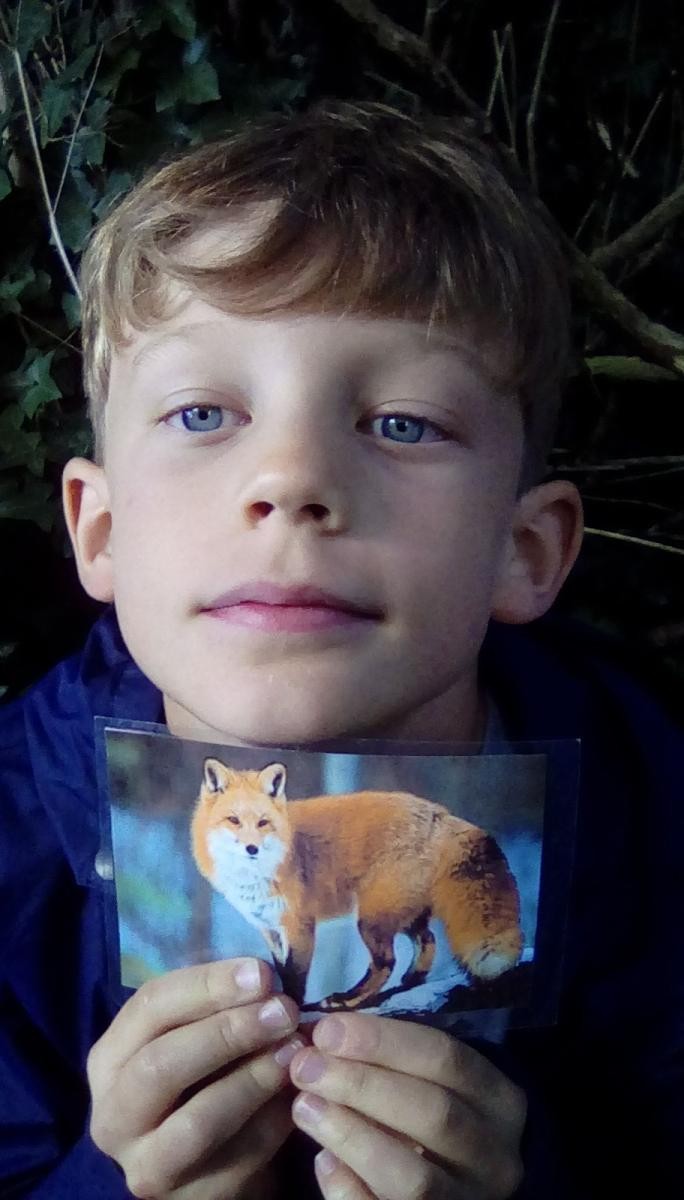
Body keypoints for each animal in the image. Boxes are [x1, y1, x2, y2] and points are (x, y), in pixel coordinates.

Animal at [192, 758, 520, 1003]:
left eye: (263, 823)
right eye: (233, 820)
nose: (252, 848)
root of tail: (439, 813)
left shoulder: (299, 925)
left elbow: (296, 978)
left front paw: (294, 1010)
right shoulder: (269, 929)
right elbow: (283, 972)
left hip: (370, 920)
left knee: (386, 962)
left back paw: (347, 999)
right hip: (400, 913)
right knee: (427, 940)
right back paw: (410, 982)